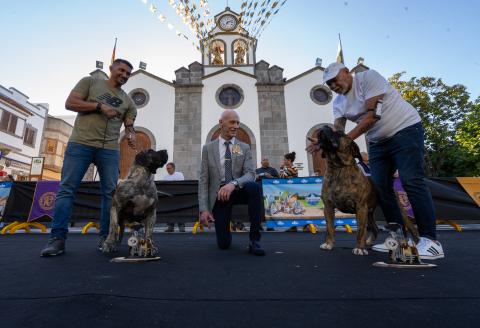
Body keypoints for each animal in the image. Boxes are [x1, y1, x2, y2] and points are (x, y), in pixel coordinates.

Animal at [316, 124, 416, 255]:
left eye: (340, 133)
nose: (325, 125)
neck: (337, 168)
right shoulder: (328, 207)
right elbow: (329, 227)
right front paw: (328, 243)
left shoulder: (360, 207)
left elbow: (361, 230)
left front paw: (359, 248)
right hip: (369, 213)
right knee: (375, 228)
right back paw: (369, 242)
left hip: (396, 211)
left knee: (412, 228)